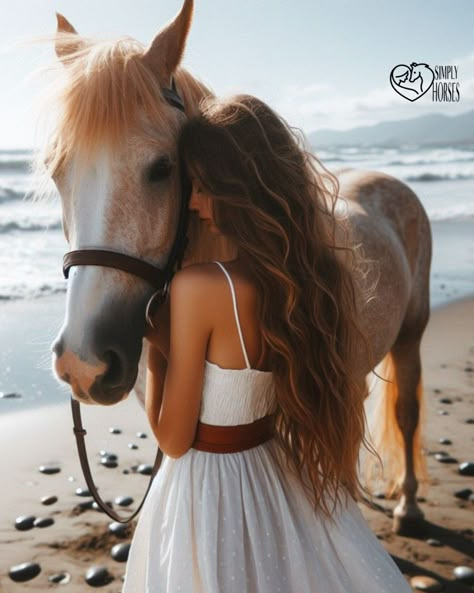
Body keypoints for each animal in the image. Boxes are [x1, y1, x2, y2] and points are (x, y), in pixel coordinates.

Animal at [37, 1, 434, 536]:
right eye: (57, 170)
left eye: (163, 168)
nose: (84, 364)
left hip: (411, 332)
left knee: (407, 411)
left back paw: (408, 506)